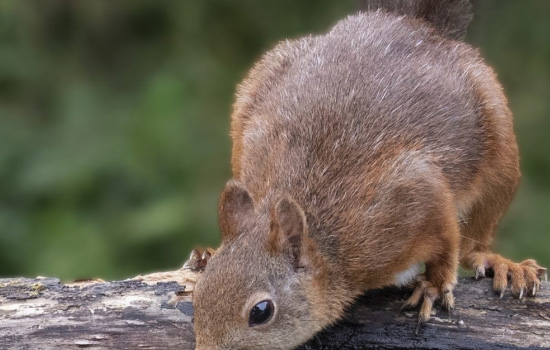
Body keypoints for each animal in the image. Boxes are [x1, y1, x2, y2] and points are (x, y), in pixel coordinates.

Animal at [190, 1, 548, 348]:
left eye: (261, 311)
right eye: (196, 298)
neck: (325, 241)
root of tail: (412, 25)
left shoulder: (412, 193)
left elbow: (447, 242)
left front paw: (433, 287)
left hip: (500, 145)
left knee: (475, 242)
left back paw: (502, 264)